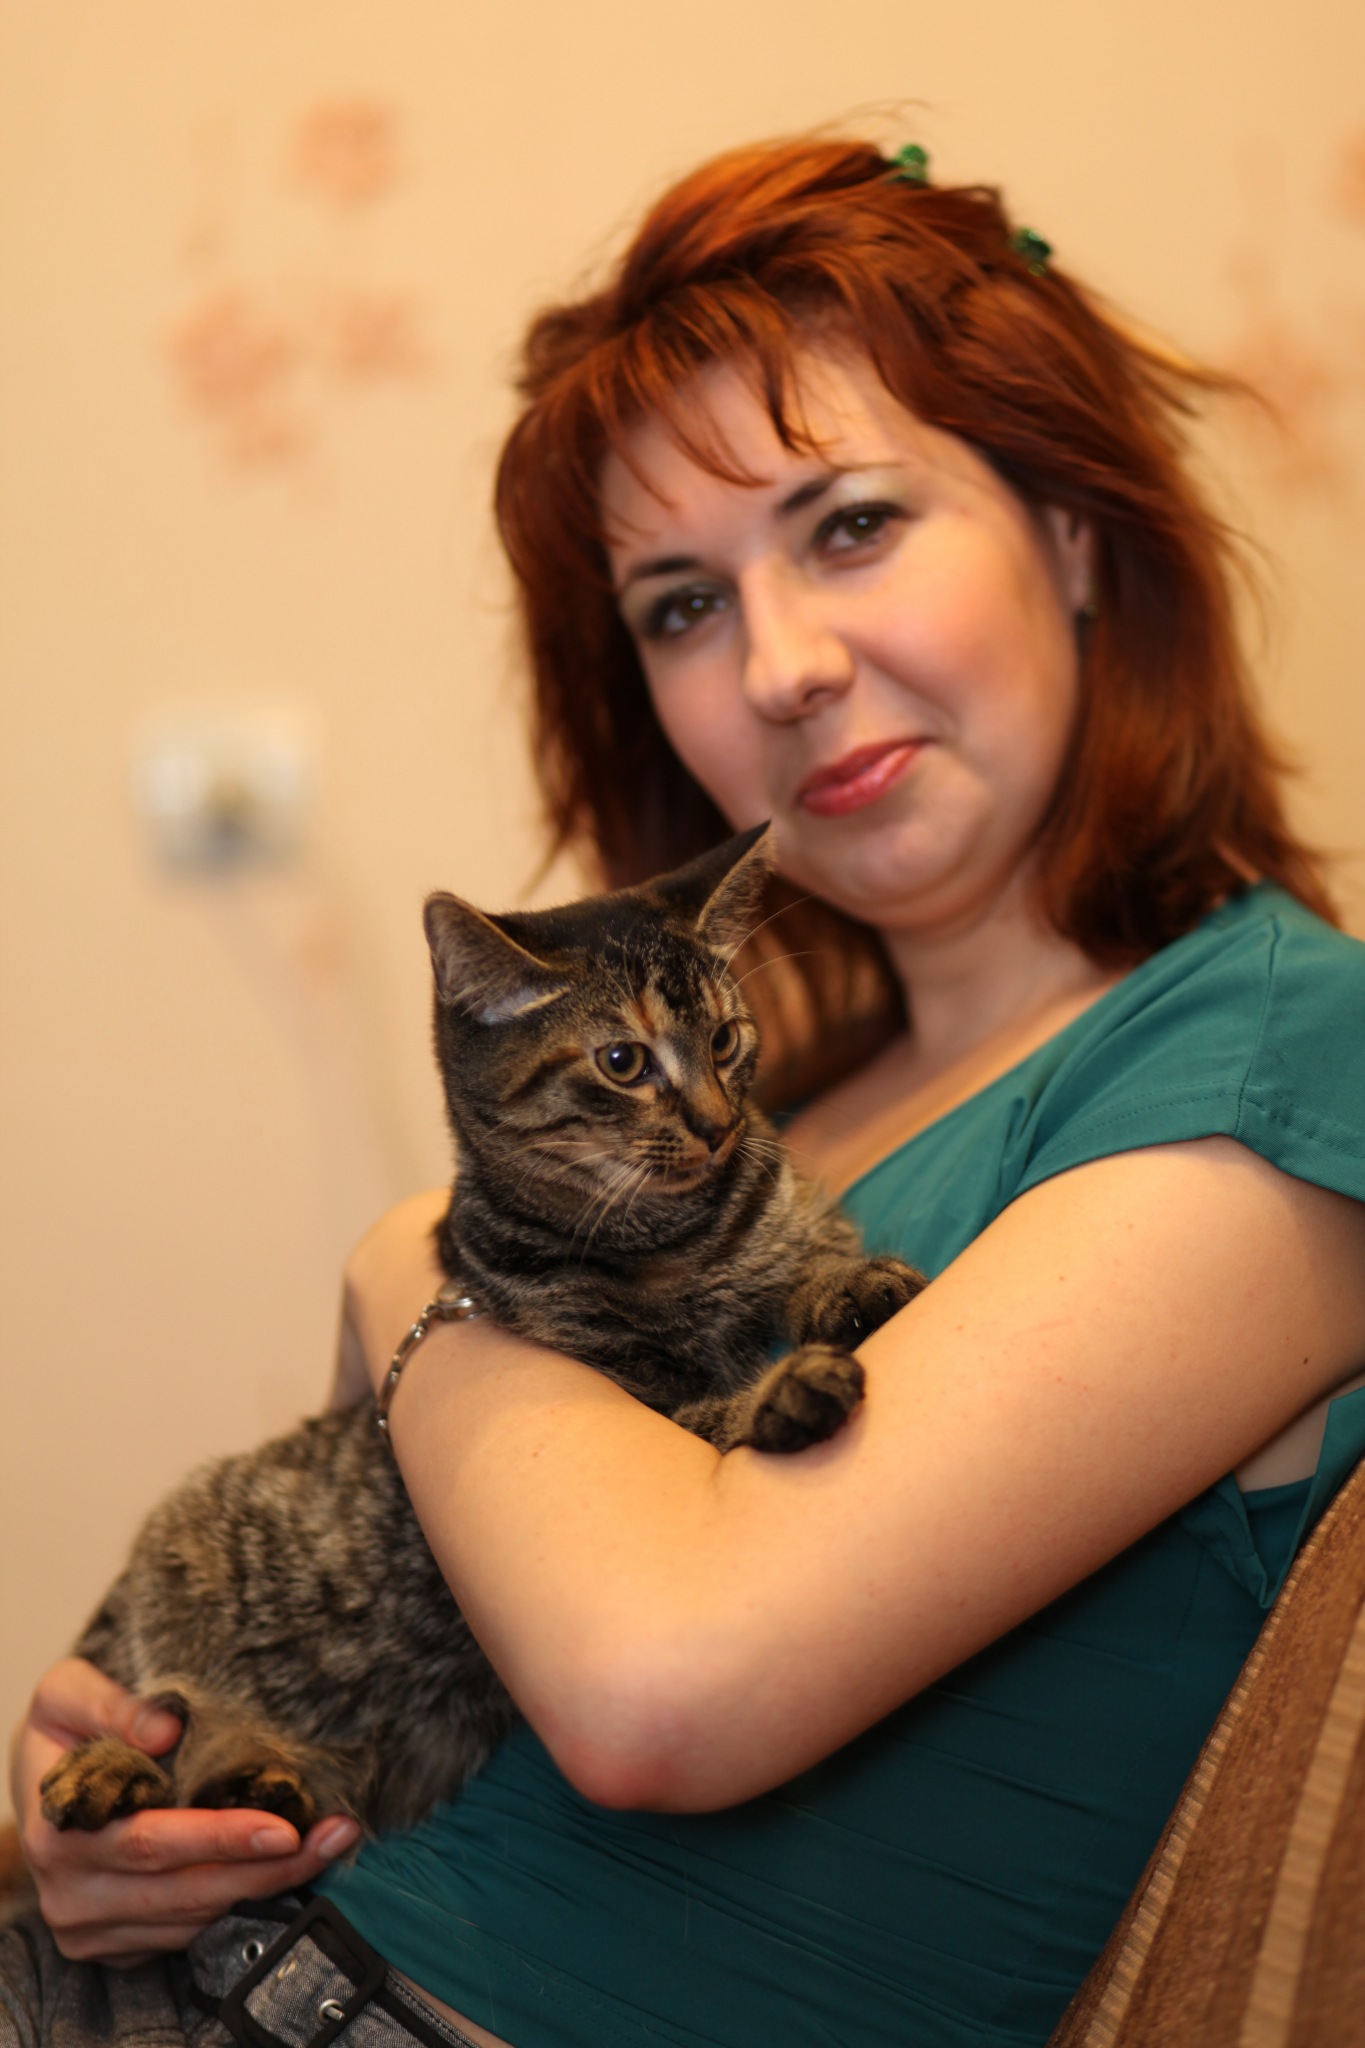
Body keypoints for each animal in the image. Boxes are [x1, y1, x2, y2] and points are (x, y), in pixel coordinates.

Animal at [40, 825, 923, 1839]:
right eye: (623, 1062)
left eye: (725, 1039)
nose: (715, 1123)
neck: (668, 1240)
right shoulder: (618, 1386)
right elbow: (708, 1410)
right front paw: (786, 1389)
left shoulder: (783, 1224)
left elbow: (808, 1257)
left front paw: (853, 1282)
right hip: (160, 1606)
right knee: (165, 1716)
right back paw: (109, 1771)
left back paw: (256, 1783)